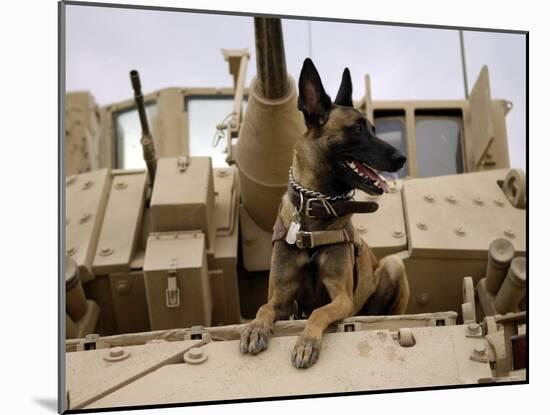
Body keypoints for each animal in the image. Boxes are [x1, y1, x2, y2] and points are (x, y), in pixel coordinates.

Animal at [240, 57, 410, 368]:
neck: (314, 211)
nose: (401, 158)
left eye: (373, 128)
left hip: (393, 266)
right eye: (358, 129)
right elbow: (264, 308)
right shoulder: (282, 298)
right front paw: (255, 329)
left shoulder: (341, 298)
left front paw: (307, 342)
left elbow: (319, 312)